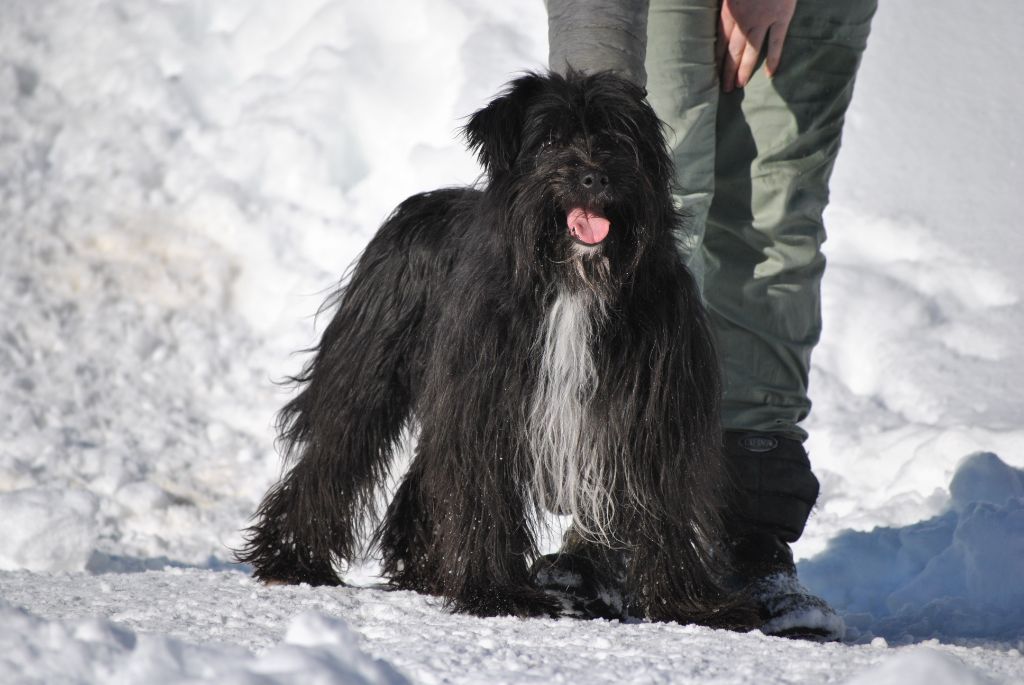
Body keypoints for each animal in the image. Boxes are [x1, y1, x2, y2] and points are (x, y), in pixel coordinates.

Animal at [237, 72, 753, 626]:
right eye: (548, 141)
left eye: (616, 138)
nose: (594, 178)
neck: (573, 280)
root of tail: (420, 206)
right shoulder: (488, 401)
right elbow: (485, 494)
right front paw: (497, 594)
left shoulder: (654, 409)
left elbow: (663, 501)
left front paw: (688, 603)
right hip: (368, 369)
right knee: (335, 454)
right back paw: (293, 559)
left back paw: (425, 567)